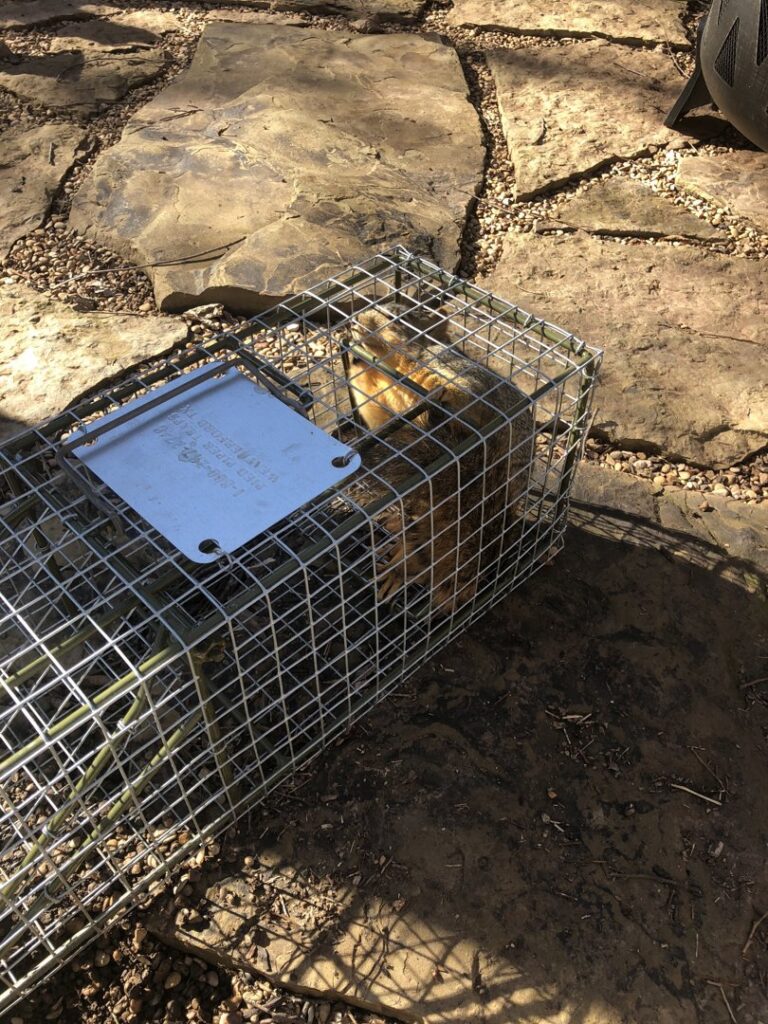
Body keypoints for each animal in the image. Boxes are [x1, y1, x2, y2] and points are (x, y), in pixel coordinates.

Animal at [342, 304, 533, 613]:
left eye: (394, 318)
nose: (353, 319)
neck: (393, 370)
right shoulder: (381, 402)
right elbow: (372, 407)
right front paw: (353, 354)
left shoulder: (462, 378)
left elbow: (464, 395)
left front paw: (439, 391)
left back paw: (399, 569)